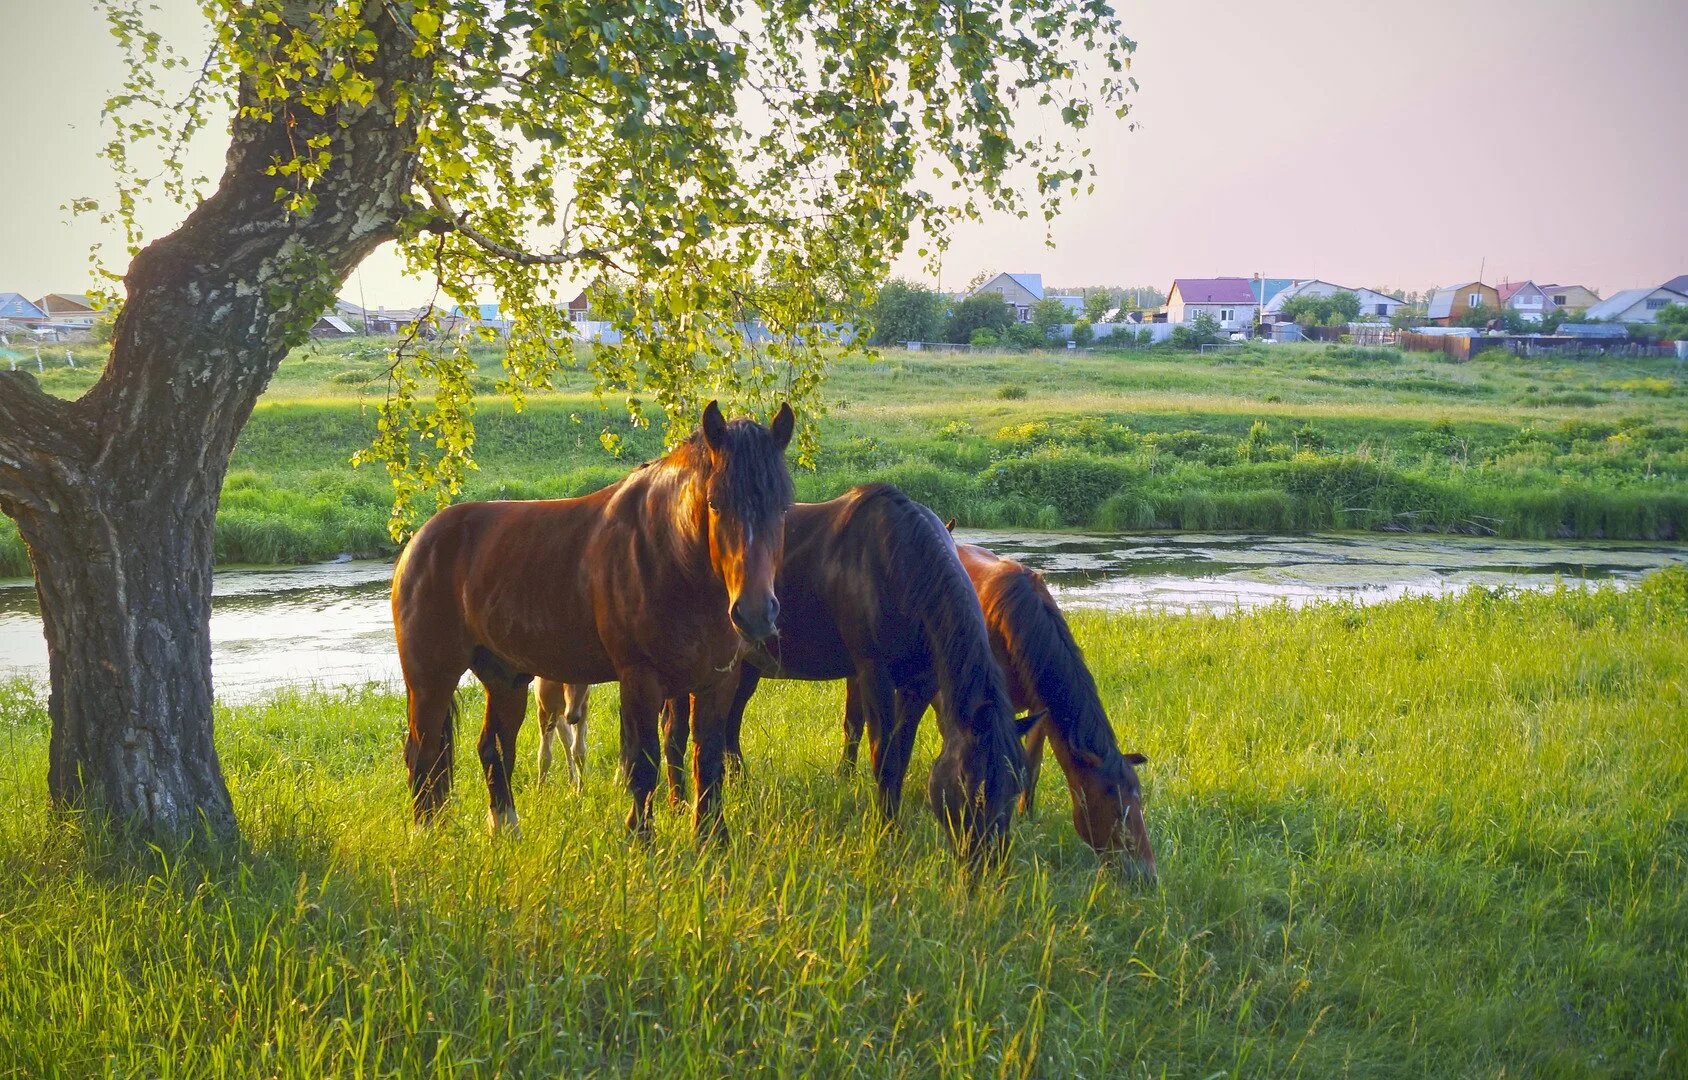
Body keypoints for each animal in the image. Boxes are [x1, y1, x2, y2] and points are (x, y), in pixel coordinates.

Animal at [391, 401, 793, 840]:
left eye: (783, 506)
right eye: (716, 503)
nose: (756, 613)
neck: (666, 554)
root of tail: (417, 543)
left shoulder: (718, 680)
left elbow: (708, 760)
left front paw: (712, 840)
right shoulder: (640, 679)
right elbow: (644, 763)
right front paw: (641, 839)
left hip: (506, 678)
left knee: (493, 748)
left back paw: (506, 829)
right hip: (431, 680)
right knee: (424, 752)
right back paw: (427, 835)